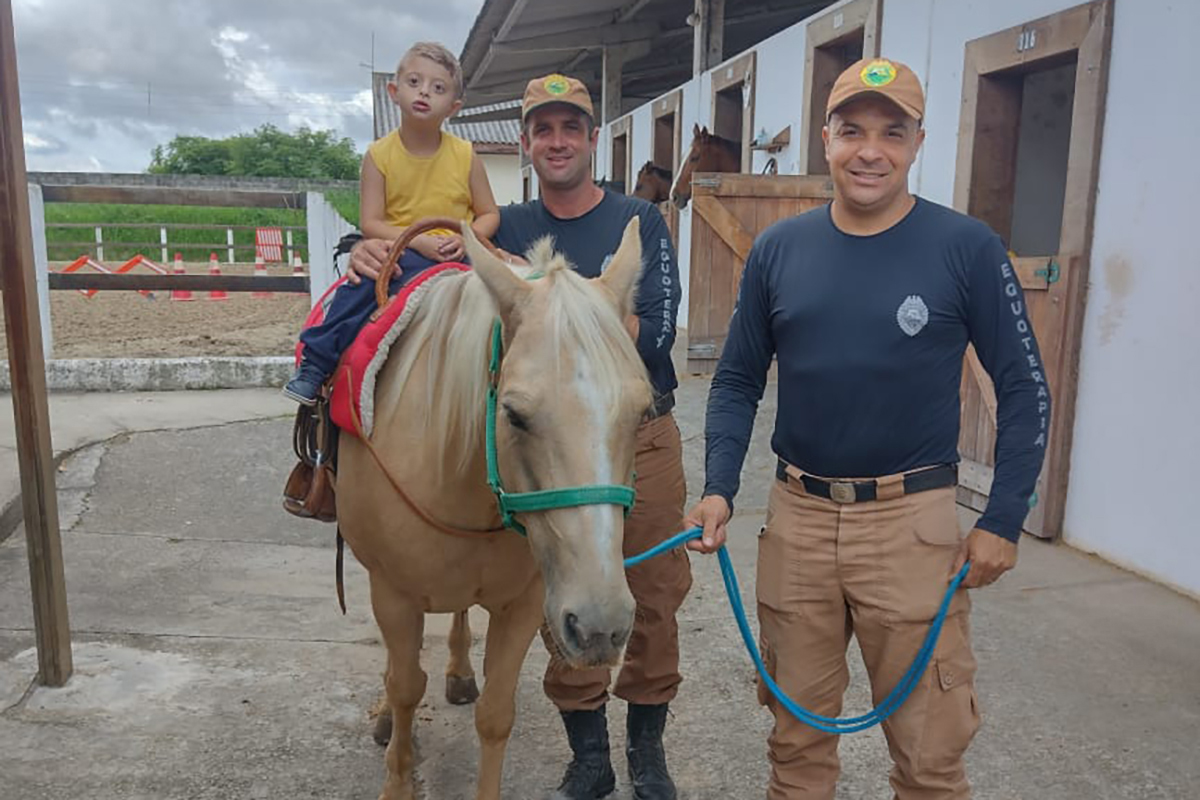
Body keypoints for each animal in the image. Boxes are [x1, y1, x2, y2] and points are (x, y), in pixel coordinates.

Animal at [338, 219, 657, 800]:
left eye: (643, 412)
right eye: (514, 414)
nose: (600, 626)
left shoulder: (525, 606)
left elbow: (495, 714)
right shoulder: (392, 593)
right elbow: (405, 686)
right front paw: (398, 765)